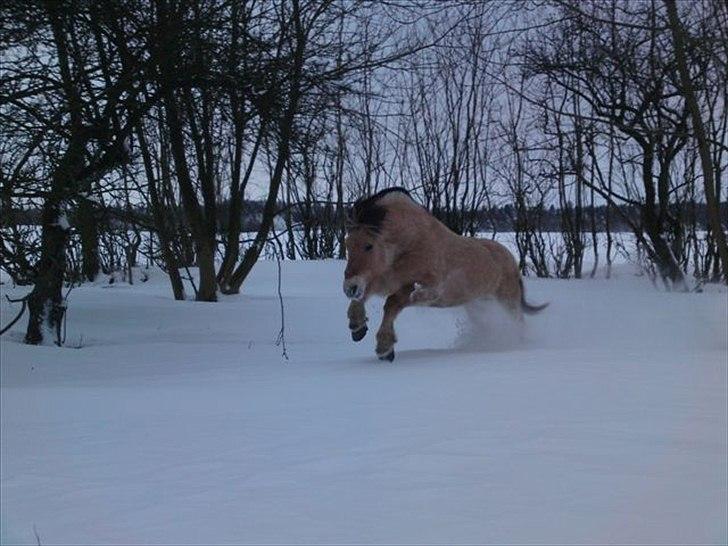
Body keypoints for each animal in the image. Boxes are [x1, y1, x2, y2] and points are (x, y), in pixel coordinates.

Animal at [342, 187, 544, 362]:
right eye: (347, 244)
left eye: (369, 245)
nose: (349, 287)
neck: (412, 242)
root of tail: (511, 260)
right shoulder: (386, 279)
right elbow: (366, 296)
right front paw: (357, 327)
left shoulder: (426, 287)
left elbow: (393, 304)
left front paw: (384, 348)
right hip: (479, 305)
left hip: (507, 302)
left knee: (518, 323)